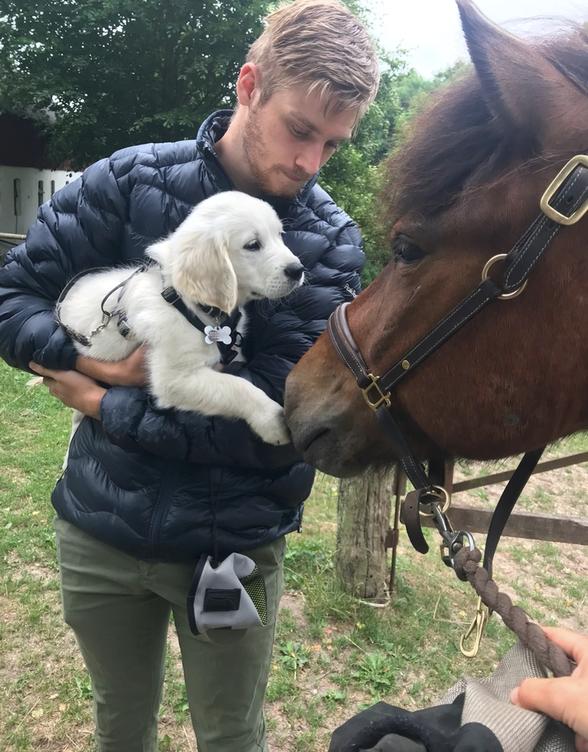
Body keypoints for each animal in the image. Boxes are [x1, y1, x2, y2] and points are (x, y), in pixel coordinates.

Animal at [55, 191, 306, 444]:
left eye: (280, 235)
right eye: (253, 245)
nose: (298, 270)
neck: (187, 303)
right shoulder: (174, 379)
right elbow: (236, 385)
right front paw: (271, 420)